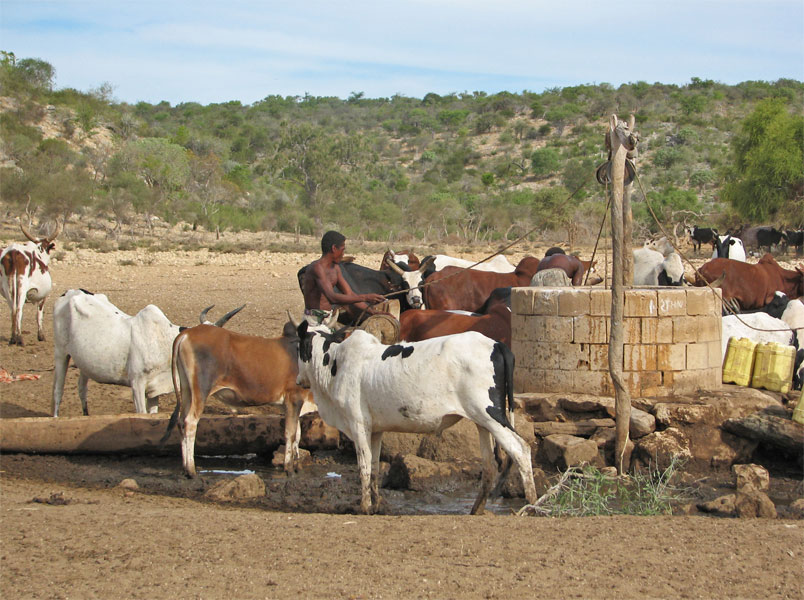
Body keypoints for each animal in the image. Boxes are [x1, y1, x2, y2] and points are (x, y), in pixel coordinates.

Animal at [51, 290, 243, 418]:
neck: (165, 343)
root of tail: (70, 292)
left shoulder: (154, 390)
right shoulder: (137, 383)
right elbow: (141, 413)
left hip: (84, 363)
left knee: (81, 388)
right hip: (61, 353)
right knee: (57, 390)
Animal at [292, 324, 536, 516]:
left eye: (298, 347)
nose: (298, 380)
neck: (335, 364)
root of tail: (497, 344)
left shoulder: (358, 424)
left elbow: (364, 466)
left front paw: (364, 507)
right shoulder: (375, 429)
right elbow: (375, 466)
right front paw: (376, 506)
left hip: (491, 415)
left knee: (520, 449)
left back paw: (532, 505)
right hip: (481, 421)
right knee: (489, 466)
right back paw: (476, 510)